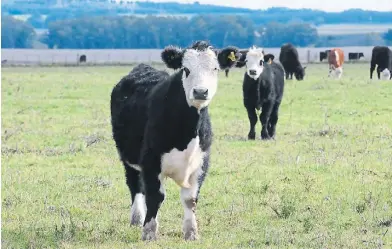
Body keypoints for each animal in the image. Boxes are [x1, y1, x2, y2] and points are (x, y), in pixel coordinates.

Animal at [108, 40, 240, 241]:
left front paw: (191, 232)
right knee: (135, 185)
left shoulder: (202, 162)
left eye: (215, 68)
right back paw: (137, 218)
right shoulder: (151, 161)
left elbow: (190, 199)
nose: (200, 91)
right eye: (186, 69)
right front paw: (149, 232)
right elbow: (155, 196)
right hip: (127, 157)